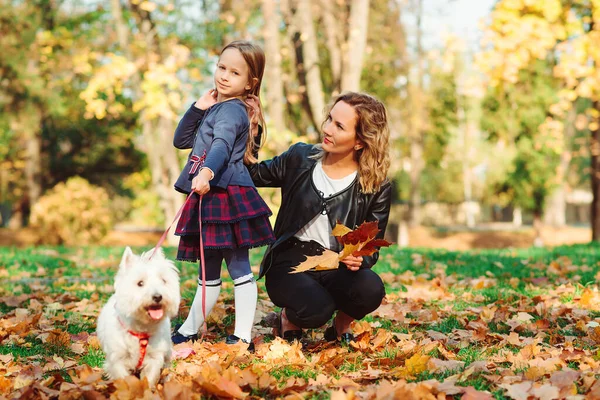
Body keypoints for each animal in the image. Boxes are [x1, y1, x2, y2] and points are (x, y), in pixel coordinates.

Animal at [96, 245, 179, 386]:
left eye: (163, 281)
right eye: (140, 283)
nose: (158, 296)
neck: (141, 329)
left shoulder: (154, 357)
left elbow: (150, 377)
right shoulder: (117, 358)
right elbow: (123, 378)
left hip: (167, 347)